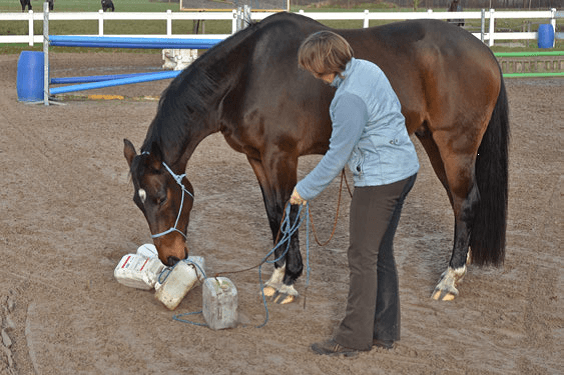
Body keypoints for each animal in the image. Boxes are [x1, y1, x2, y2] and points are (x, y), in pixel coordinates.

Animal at [124, 11, 512, 306]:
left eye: (161, 197)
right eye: (137, 202)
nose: (171, 257)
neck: (247, 74)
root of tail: (484, 51)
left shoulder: (282, 156)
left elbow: (289, 210)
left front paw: (289, 279)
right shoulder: (257, 159)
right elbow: (274, 214)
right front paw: (278, 272)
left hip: (455, 145)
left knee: (465, 201)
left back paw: (449, 278)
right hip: (433, 141)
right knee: (459, 202)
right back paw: (460, 265)